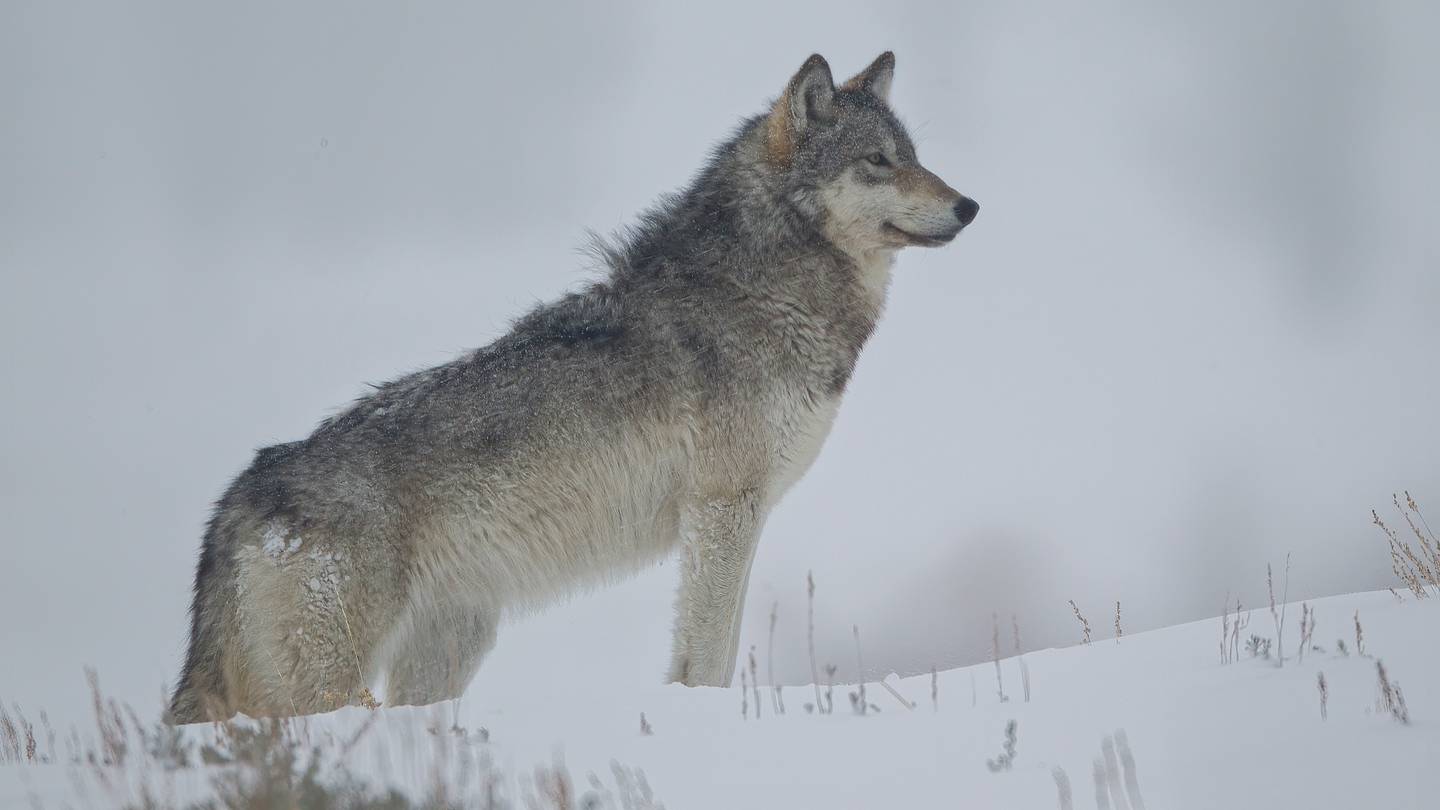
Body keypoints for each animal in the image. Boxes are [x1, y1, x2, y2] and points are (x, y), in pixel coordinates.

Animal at [169, 51, 978, 723]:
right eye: (878, 162)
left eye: (914, 157)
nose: (969, 206)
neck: (763, 291)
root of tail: (239, 494)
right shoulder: (723, 509)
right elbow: (706, 656)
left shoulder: (741, 514)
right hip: (333, 682)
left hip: (447, 650)